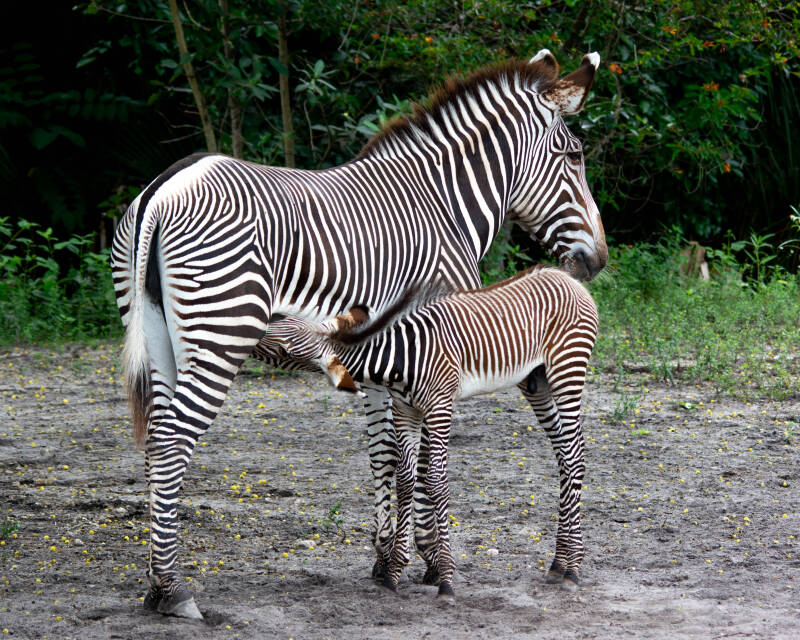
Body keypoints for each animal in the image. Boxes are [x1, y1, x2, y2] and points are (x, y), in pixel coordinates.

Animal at [260, 264, 599, 597]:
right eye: (285, 322)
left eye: (285, 350)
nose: (259, 328)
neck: (400, 358)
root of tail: (565, 277)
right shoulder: (404, 411)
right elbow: (406, 479)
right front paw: (394, 572)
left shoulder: (439, 407)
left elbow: (435, 480)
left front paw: (446, 578)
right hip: (536, 381)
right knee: (564, 454)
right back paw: (559, 563)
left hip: (566, 370)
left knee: (574, 455)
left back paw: (572, 567)